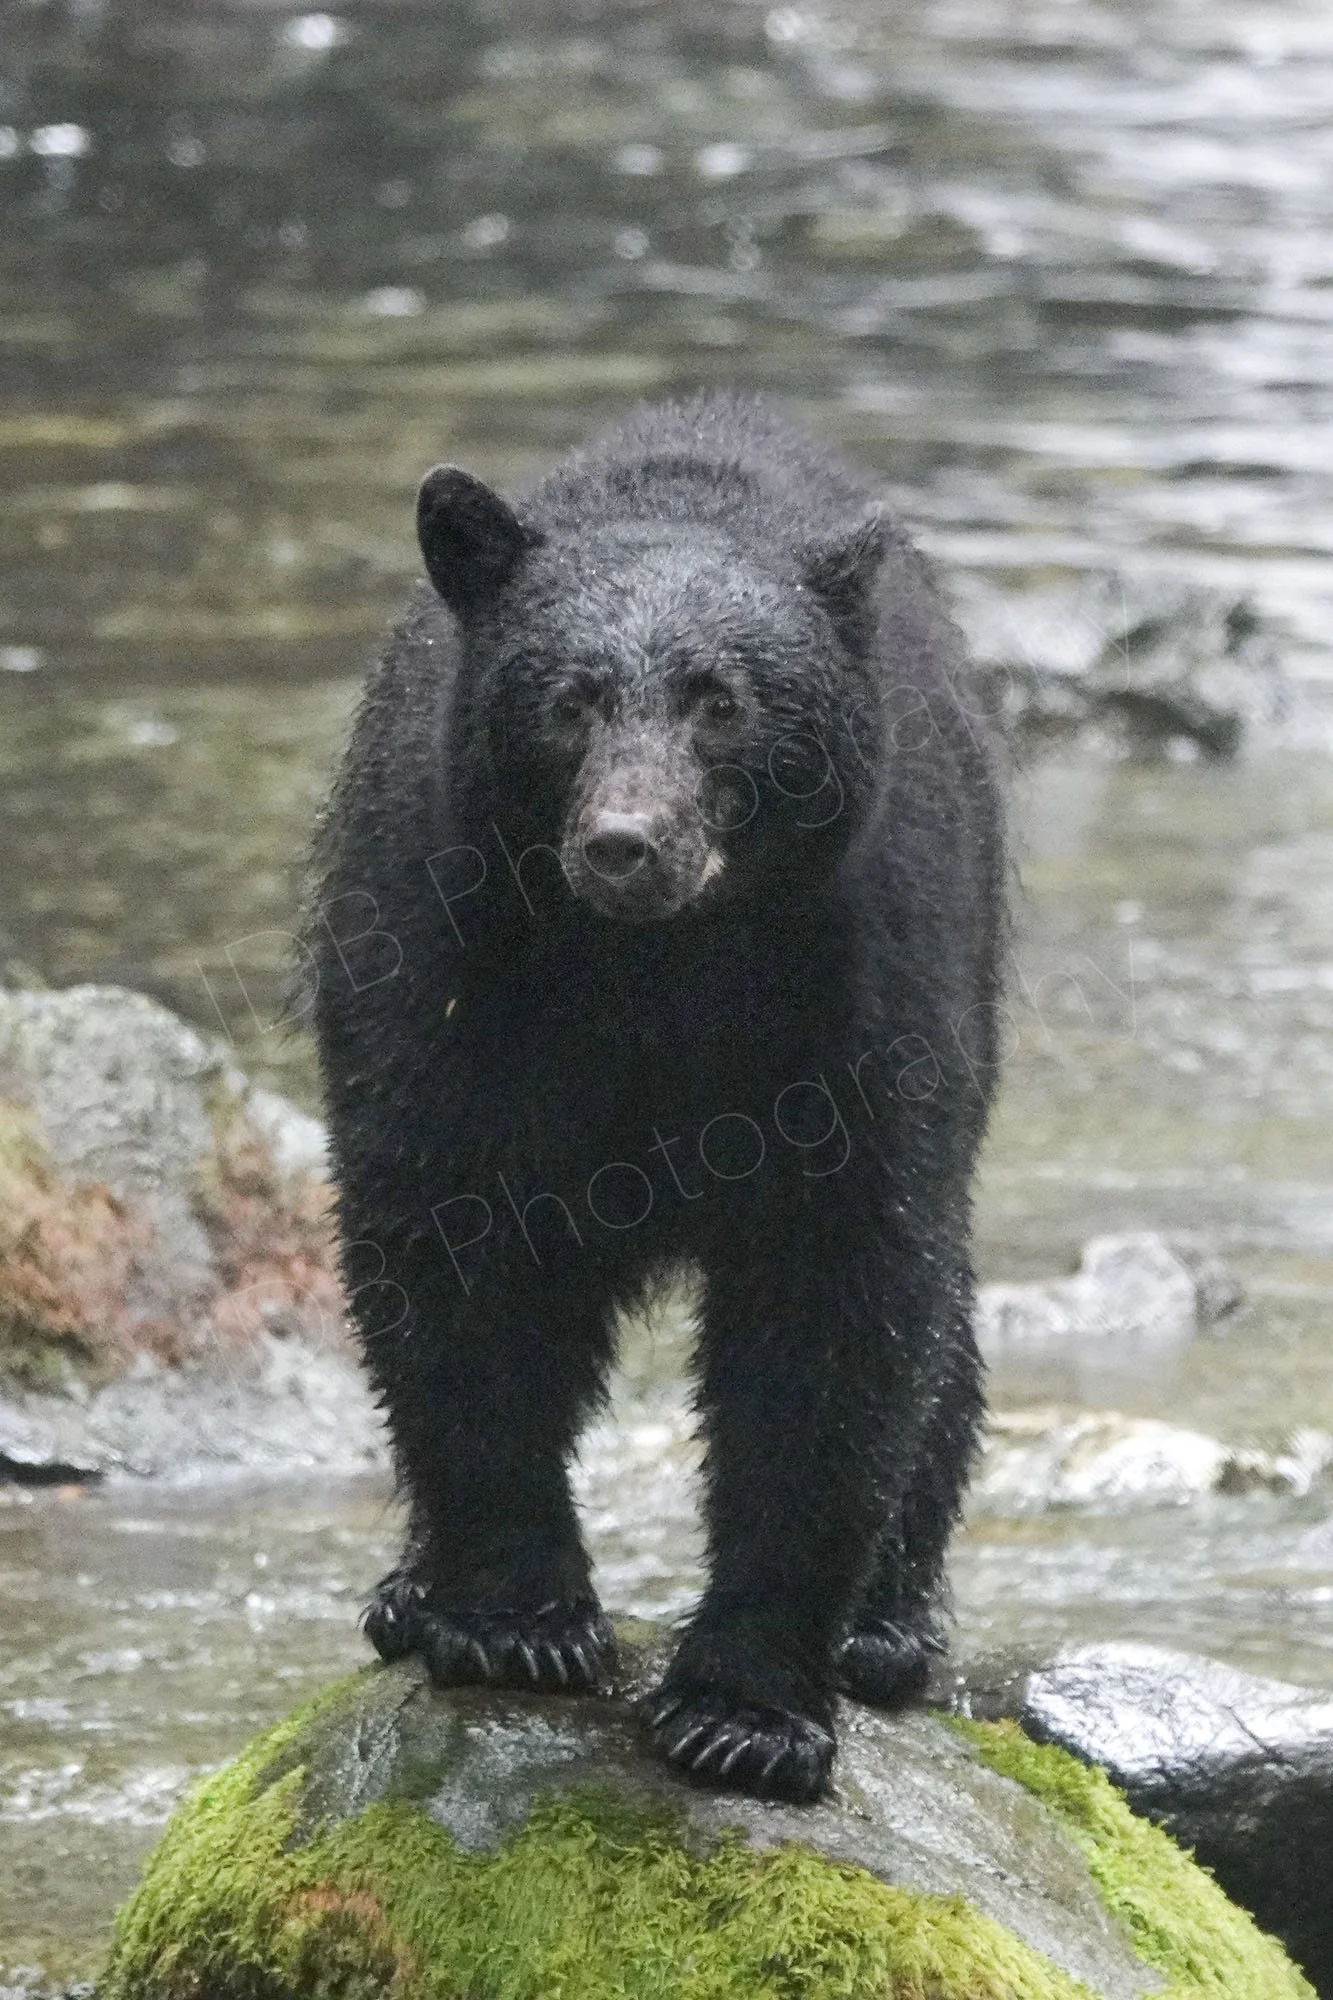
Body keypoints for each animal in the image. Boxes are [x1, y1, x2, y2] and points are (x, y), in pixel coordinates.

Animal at [306, 393, 1005, 1804]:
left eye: (722, 700)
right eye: (569, 700)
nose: (626, 842)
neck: (654, 969)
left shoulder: (864, 976)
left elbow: (836, 1309)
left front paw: (746, 1707)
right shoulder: (443, 951)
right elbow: (452, 1247)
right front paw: (513, 1619)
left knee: (941, 1326)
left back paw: (886, 1624)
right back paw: (407, 1587)